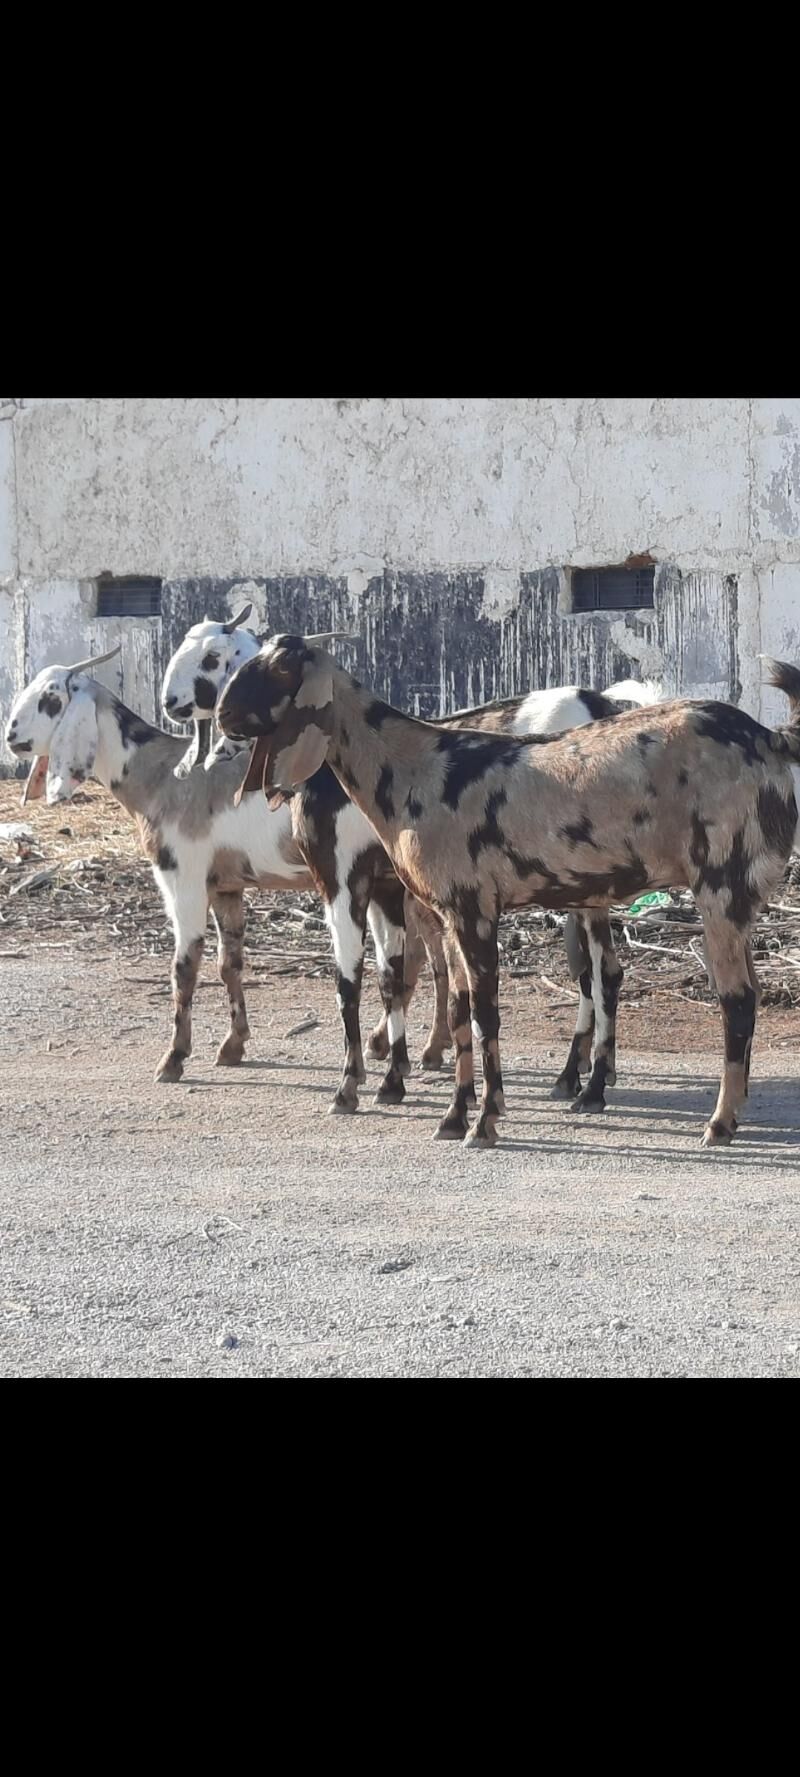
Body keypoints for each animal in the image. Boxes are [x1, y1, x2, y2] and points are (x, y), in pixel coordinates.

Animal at [162, 611, 661, 1108]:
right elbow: (392, 976)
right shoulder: (386, 885)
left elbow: (351, 979)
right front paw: (392, 1075)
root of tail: (603, 704)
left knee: (602, 973)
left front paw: (352, 1083)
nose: (174, 704)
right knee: (593, 972)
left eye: (214, 657)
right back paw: (578, 1076)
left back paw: (589, 1084)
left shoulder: (341, 878)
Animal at [212, 639, 800, 1151]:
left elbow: (474, 1012)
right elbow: (457, 1010)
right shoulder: (445, 911)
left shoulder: (453, 905)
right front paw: (454, 1115)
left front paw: (481, 1120)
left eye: (279, 670)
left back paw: (718, 1123)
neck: (414, 766)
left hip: (719, 887)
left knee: (736, 1000)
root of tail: (768, 737)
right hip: (729, 901)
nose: (221, 715)